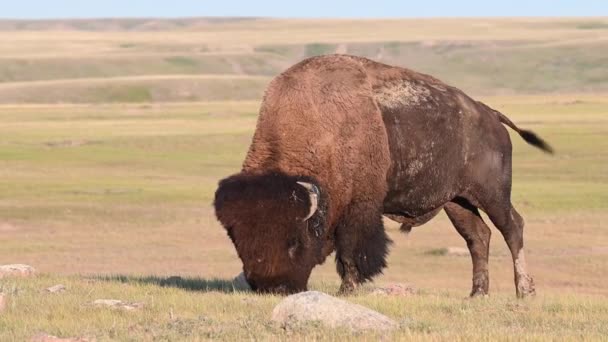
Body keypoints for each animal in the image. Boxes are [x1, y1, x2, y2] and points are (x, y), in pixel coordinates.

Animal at [214, 53, 552, 296]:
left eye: (293, 241)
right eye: (237, 240)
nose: (273, 287)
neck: (320, 126)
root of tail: (491, 115)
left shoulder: (360, 208)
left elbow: (352, 250)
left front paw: (347, 290)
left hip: (492, 194)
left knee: (512, 228)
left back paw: (524, 291)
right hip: (458, 201)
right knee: (478, 237)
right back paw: (477, 294)